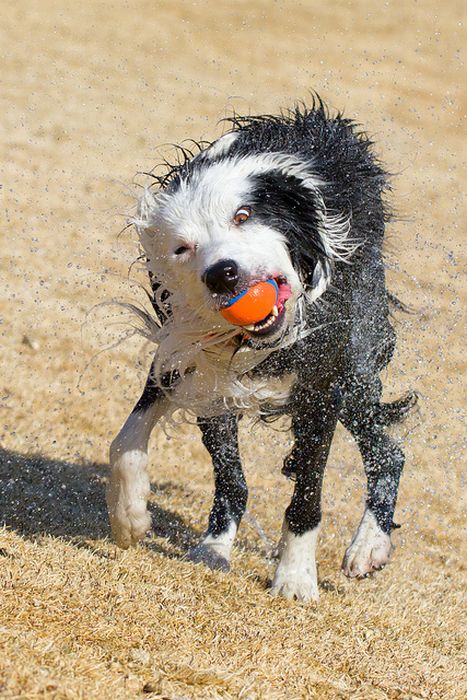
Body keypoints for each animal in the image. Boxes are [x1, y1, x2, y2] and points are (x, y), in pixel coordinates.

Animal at [107, 97, 416, 600]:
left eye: (243, 215)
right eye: (182, 248)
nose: (222, 273)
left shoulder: (321, 386)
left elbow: (306, 494)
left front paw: (295, 577)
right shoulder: (189, 361)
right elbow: (128, 442)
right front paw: (131, 518)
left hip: (354, 374)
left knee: (388, 452)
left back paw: (369, 545)